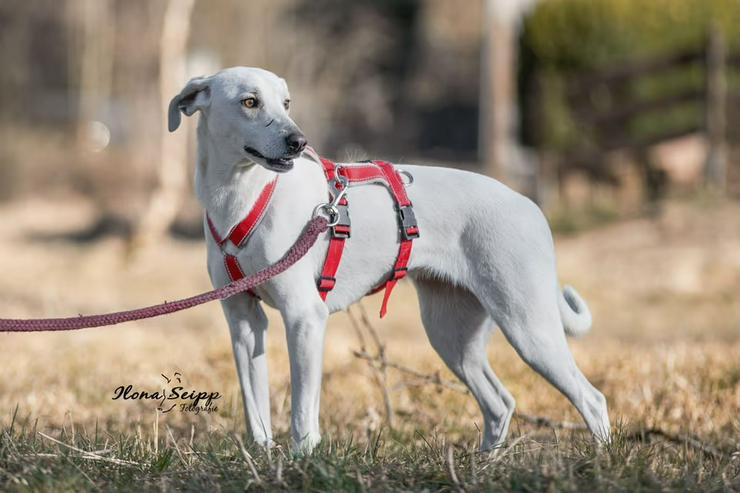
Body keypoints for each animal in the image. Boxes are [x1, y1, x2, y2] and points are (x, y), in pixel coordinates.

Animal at [171, 67, 608, 452]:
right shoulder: (244, 322)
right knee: (500, 404)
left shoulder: (304, 317)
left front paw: (301, 460)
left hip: (528, 328)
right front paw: (261, 459)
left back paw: (601, 459)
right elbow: (256, 412)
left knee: (591, 399)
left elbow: (301, 413)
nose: (298, 140)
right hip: (452, 336)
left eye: (286, 102)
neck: (243, 196)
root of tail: (530, 206)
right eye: (250, 102)